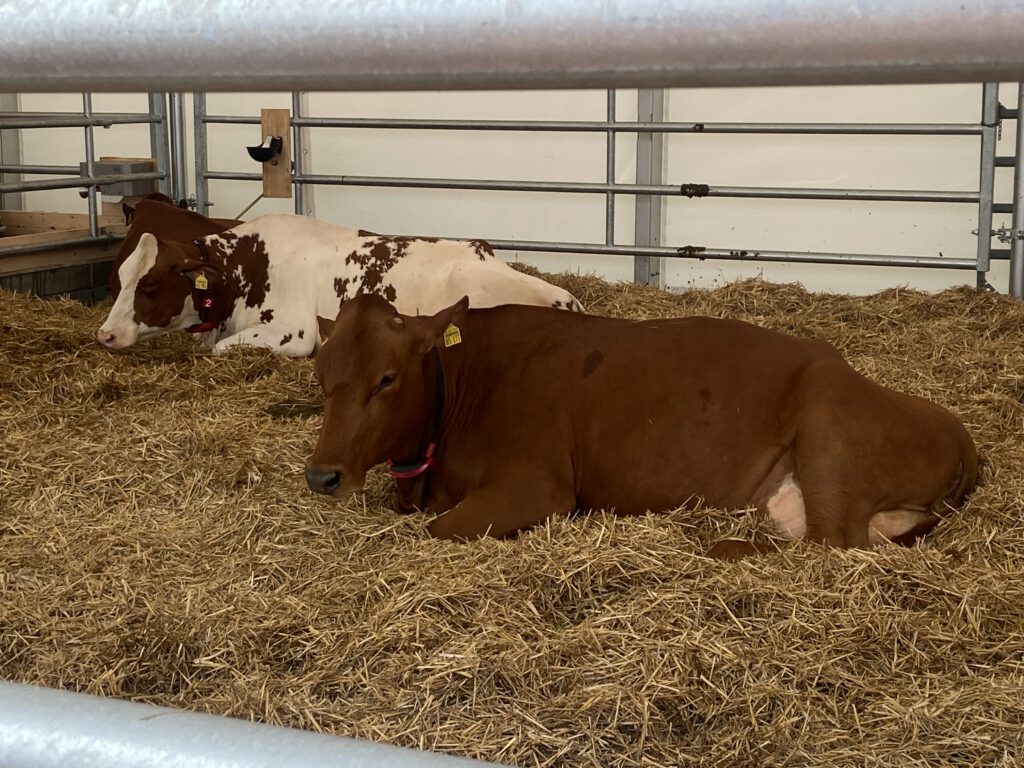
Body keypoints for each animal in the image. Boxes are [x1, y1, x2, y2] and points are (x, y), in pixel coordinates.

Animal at [304, 294, 977, 557]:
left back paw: (724, 546)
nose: (321, 476)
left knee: (831, 544)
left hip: (827, 421)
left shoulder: (539, 482)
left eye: (387, 378)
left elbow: (441, 530)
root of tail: (956, 426)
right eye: (320, 370)